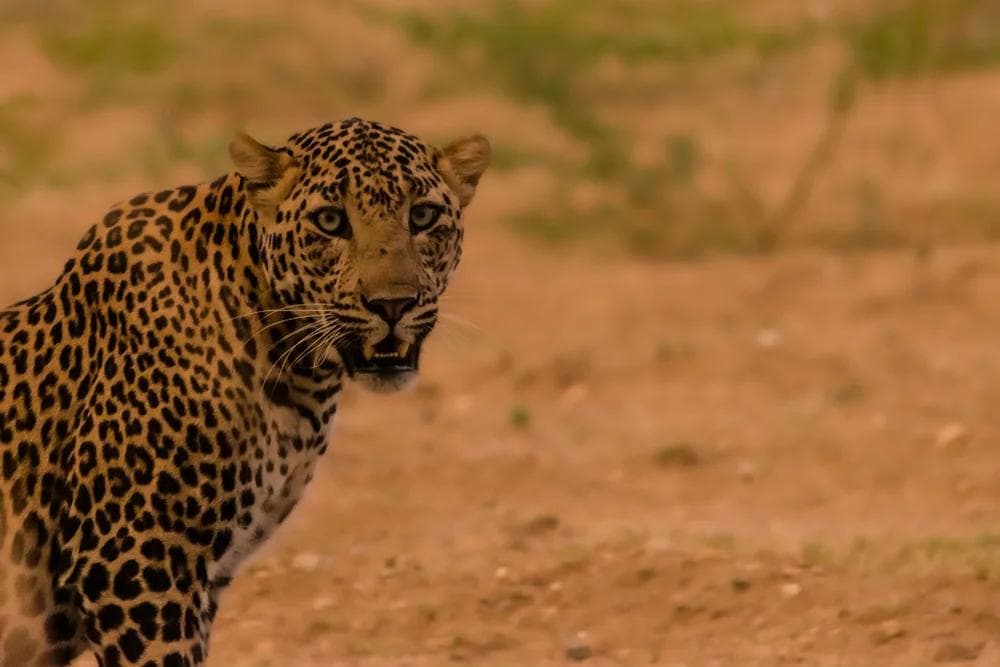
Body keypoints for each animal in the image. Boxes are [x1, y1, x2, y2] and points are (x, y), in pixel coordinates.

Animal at [0, 117, 490, 666]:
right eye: (330, 221)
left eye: (423, 216)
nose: (393, 304)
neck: (298, 375)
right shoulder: (129, 559)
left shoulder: (201, 579)